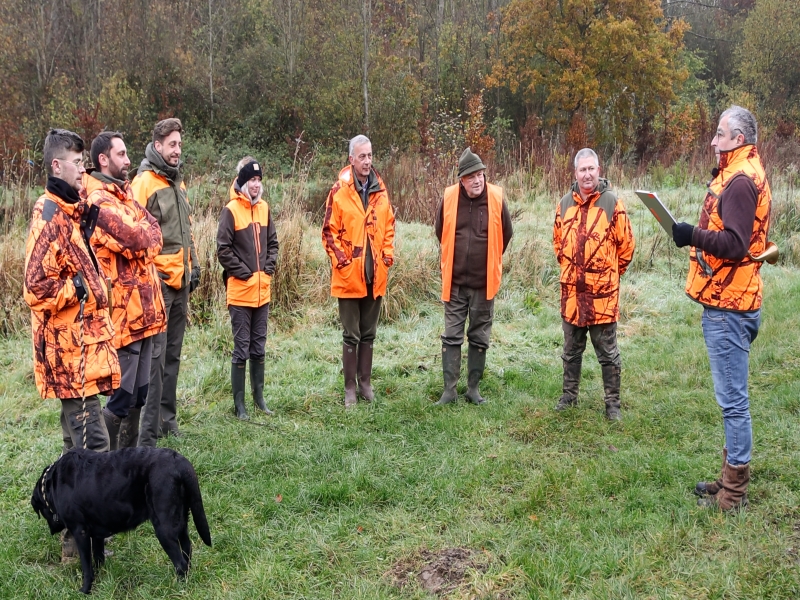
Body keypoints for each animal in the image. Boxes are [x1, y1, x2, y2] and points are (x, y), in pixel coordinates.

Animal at [31, 446, 212, 594]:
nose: (52, 530)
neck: (52, 484)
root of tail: (179, 461)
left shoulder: (80, 531)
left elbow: (86, 566)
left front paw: (85, 590)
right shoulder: (96, 534)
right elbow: (98, 558)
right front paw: (101, 578)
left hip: (163, 528)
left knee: (180, 563)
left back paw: (176, 588)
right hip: (181, 521)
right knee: (187, 550)